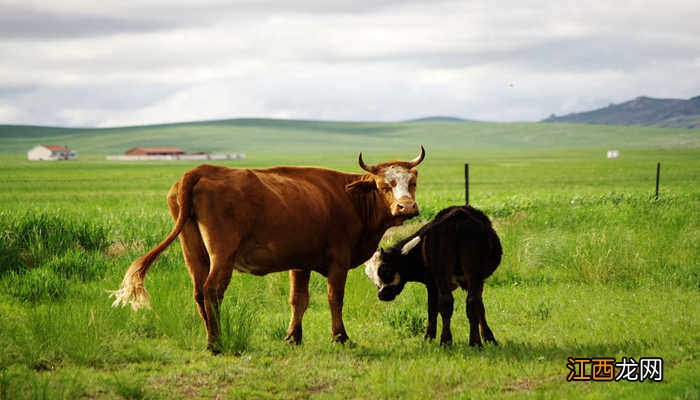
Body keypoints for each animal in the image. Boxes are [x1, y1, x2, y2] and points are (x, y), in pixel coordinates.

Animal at [112, 148, 424, 354]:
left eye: (412, 183)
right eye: (384, 185)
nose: (406, 207)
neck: (349, 198)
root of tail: (200, 170)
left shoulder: (300, 262)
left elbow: (298, 300)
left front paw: (293, 337)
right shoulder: (338, 260)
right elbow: (334, 299)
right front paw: (340, 337)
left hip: (193, 251)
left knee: (199, 292)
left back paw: (211, 337)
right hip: (222, 254)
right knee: (212, 290)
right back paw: (216, 343)